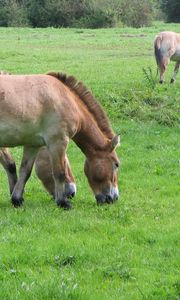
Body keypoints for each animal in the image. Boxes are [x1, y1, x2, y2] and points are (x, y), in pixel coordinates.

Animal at [0, 72, 121, 209]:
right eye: (116, 164)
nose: (114, 198)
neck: (65, 98)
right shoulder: (58, 142)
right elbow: (59, 172)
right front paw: (63, 202)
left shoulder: (32, 145)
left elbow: (25, 171)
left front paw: (17, 199)